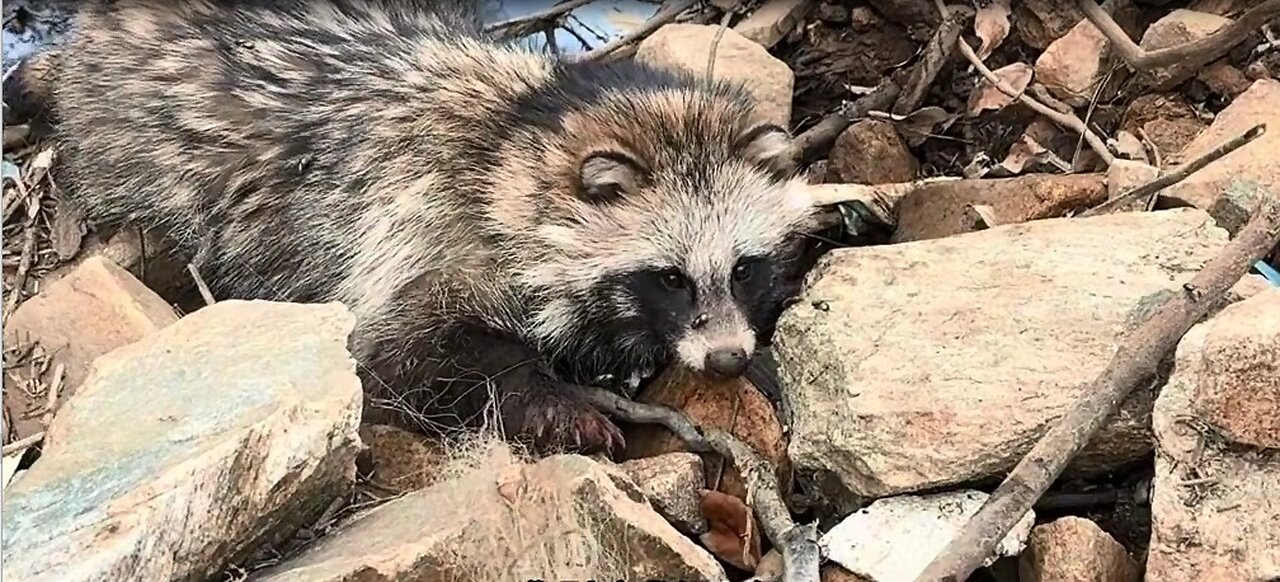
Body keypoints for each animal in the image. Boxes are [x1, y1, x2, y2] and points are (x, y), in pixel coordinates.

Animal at [9, 0, 824, 454]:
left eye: (743, 267)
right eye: (669, 277)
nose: (725, 360)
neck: (517, 137)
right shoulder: (415, 226)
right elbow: (397, 357)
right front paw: (549, 399)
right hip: (128, 152)